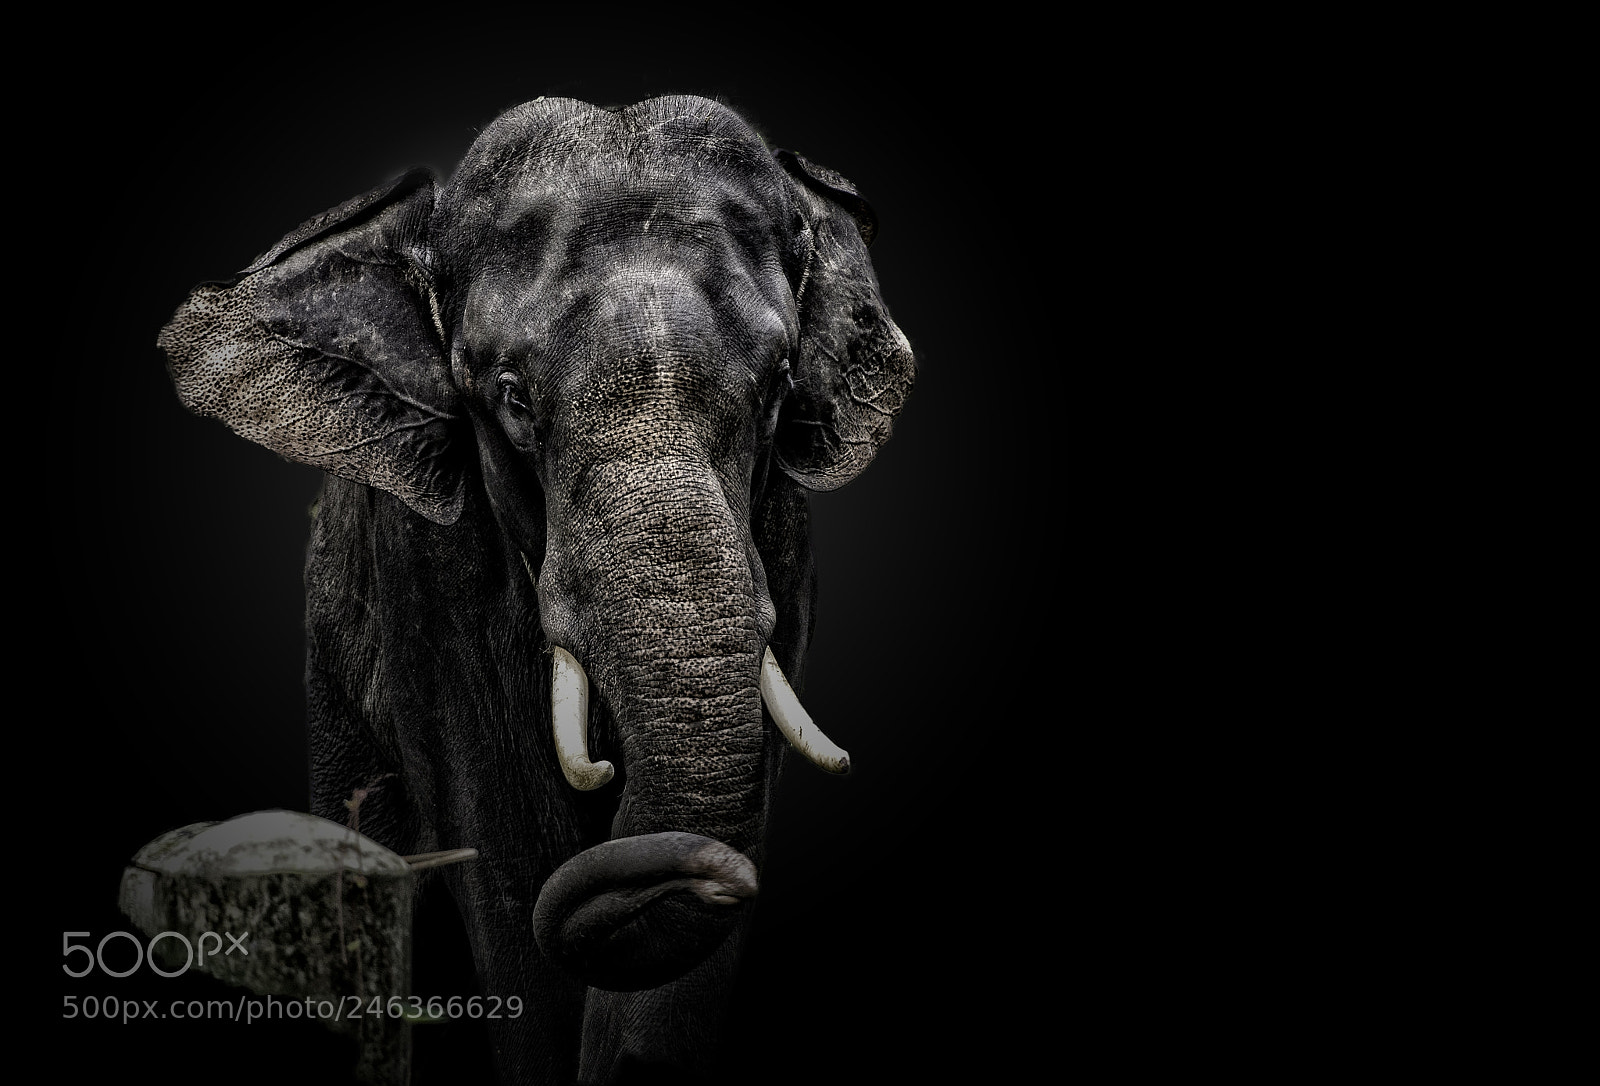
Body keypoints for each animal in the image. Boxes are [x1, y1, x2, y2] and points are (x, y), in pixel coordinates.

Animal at [157, 94, 913, 1083]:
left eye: (779, 382)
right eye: (513, 400)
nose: (700, 874)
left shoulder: (783, 550)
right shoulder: (431, 575)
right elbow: (505, 839)